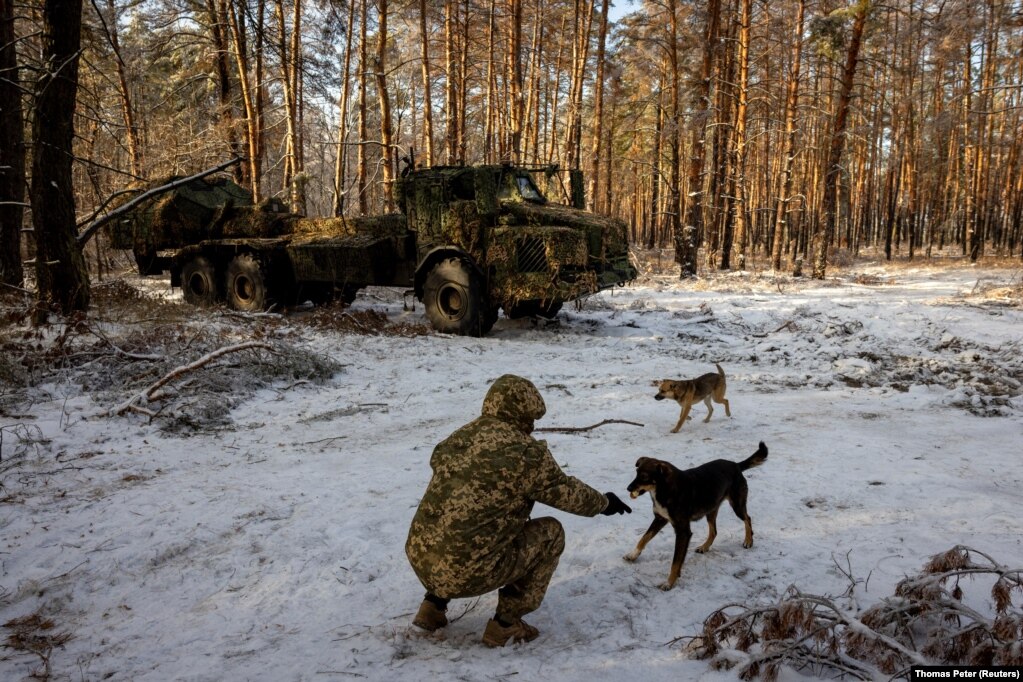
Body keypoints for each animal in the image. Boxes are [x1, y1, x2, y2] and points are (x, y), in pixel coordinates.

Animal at [621, 443, 769, 593]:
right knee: (714, 531)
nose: (628, 488)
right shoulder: (660, 519)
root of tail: (735, 465)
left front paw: (669, 583)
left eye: (644, 476)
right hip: (710, 510)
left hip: (737, 505)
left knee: (747, 518)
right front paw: (633, 555)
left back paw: (748, 540)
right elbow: (644, 538)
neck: (664, 489)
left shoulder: (683, 531)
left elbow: (676, 562)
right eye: (636, 473)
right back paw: (704, 547)